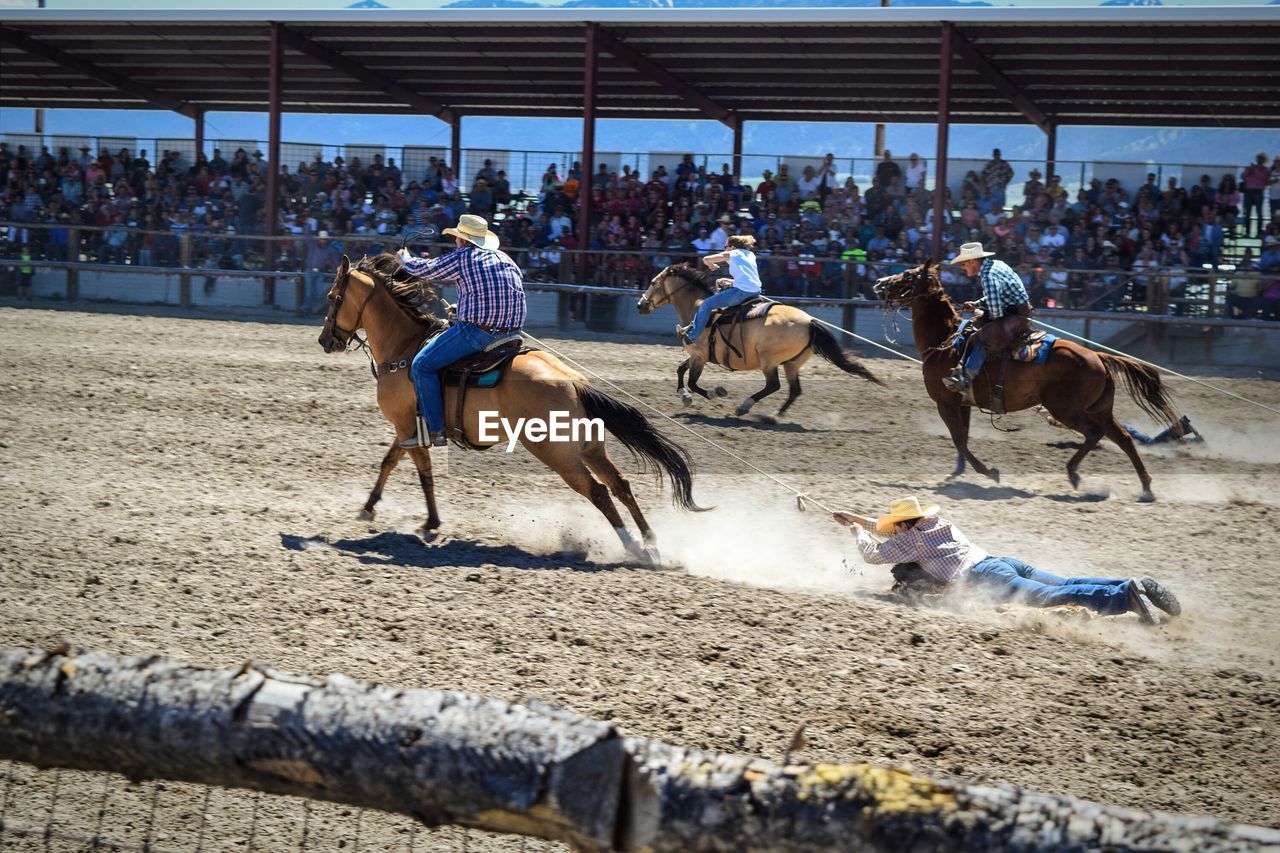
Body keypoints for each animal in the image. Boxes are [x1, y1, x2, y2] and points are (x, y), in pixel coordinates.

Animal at [316, 251, 706, 563]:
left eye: (333, 297)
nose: (325, 341)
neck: (405, 349)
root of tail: (573, 383)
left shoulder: (408, 426)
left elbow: (421, 472)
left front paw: (429, 523)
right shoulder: (409, 429)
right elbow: (391, 461)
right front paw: (370, 508)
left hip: (556, 454)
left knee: (597, 491)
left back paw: (634, 548)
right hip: (590, 448)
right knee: (620, 484)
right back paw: (651, 541)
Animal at [637, 258, 880, 417]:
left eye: (653, 283)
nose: (640, 305)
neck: (698, 307)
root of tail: (810, 321)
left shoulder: (699, 356)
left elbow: (692, 381)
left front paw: (715, 393)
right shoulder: (699, 356)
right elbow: (680, 370)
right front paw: (685, 397)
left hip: (769, 360)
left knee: (774, 385)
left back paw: (745, 406)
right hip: (792, 363)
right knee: (794, 390)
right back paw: (775, 416)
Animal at [875, 258, 1182, 499]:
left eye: (907, 275)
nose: (878, 282)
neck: (944, 342)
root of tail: (1098, 357)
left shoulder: (945, 402)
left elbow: (959, 440)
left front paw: (989, 472)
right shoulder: (963, 403)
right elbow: (963, 437)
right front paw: (958, 473)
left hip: (1066, 409)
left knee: (1095, 434)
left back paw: (1073, 474)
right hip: (1101, 408)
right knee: (1124, 439)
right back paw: (1146, 487)